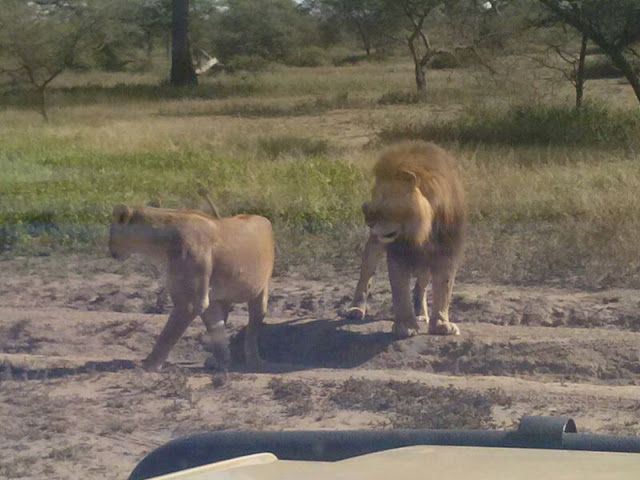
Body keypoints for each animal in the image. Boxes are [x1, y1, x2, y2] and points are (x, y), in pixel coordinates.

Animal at [109, 202, 274, 372]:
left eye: (111, 230)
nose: (110, 250)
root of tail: (262, 218)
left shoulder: (190, 302)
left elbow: (168, 334)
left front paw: (150, 365)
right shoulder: (207, 299)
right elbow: (216, 328)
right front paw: (222, 361)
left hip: (261, 290)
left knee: (253, 328)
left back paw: (254, 361)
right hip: (224, 296)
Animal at [350, 141, 464, 338]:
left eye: (385, 203)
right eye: (373, 198)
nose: (367, 220)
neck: (421, 230)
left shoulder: (447, 251)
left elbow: (444, 289)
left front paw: (441, 324)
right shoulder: (398, 254)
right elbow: (400, 291)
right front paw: (405, 325)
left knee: (421, 286)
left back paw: (421, 313)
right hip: (374, 247)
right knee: (366, 274)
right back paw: (356, 309)